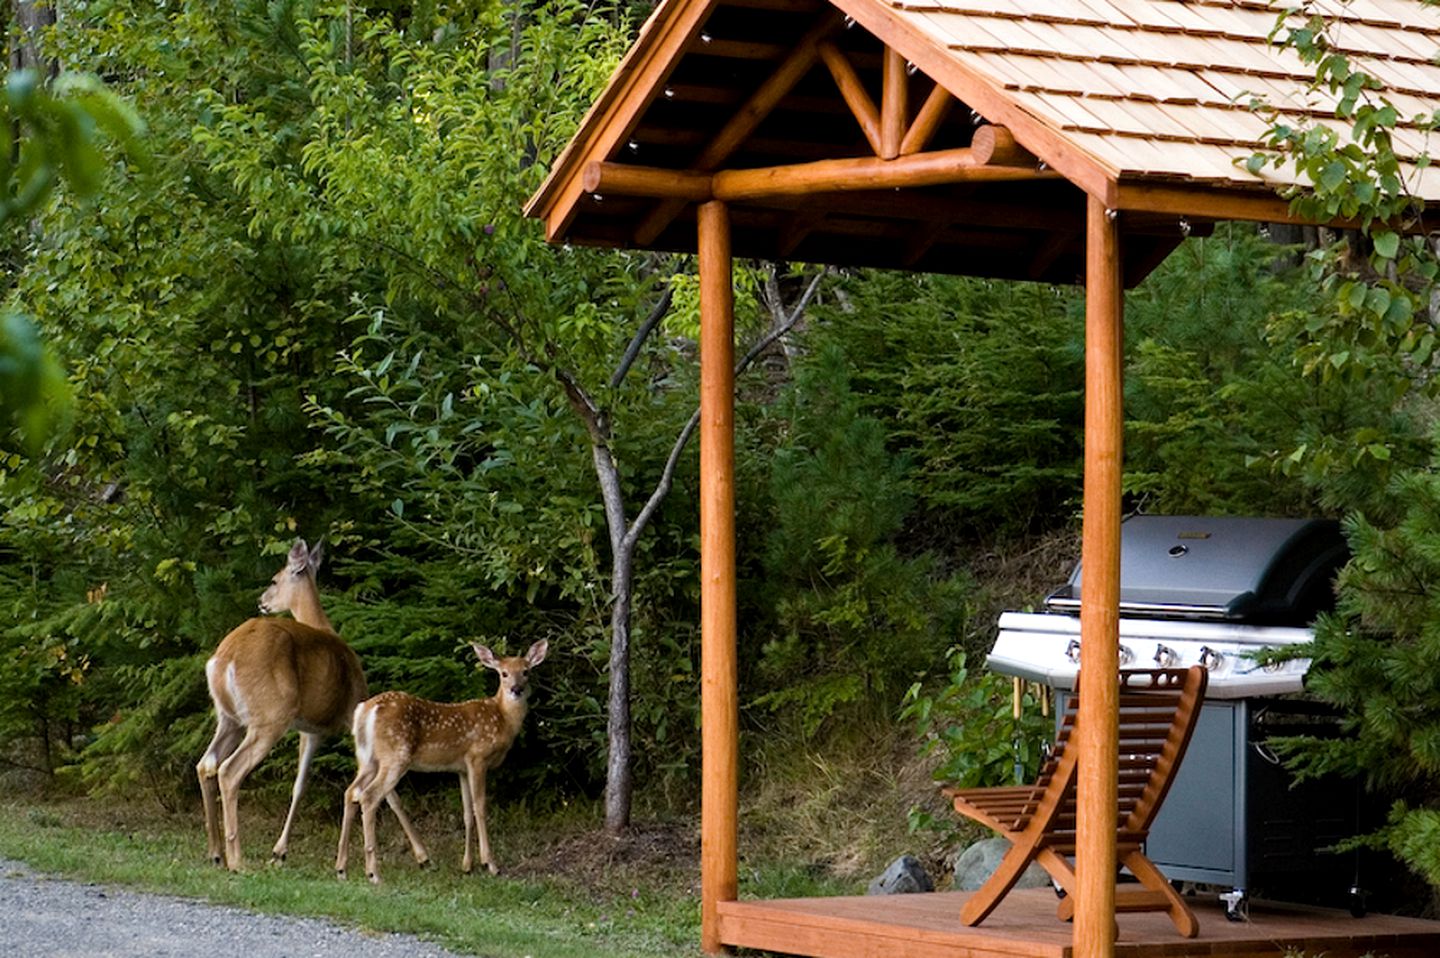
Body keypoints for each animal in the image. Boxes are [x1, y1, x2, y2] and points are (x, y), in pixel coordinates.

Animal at [197, 533, 365, 870]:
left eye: (273, 580)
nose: (262, 600)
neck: (324, 628)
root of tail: (223, 659)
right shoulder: (352, 711)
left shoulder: (309, 728)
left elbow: (299, 785)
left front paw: (279, 851)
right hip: (270, 716)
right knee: (229, 771)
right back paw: (238, 860)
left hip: (229, 718)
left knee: (205, 764)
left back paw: (216, 853)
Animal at [336, 639, 550, 887]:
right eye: (504, 673)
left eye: (526, 671)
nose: (516, 689)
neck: (502, 719)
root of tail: (365, 710)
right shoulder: (477, 758)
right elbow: (480, 807)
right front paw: (490, 864)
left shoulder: (461, 768)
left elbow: (467, 812)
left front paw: (467, 866)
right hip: (395, 755)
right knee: (369, 797)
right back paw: (373, 873)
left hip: (367, 759)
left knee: (351, 792)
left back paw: (341, 869)